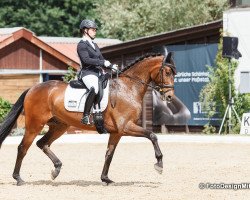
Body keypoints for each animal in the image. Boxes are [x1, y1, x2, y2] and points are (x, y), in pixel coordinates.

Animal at [0, 52, 176, 186]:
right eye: (167, 72)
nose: (169, 97)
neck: (128, 88)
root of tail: (32, 88)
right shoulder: (125, 127)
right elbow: (152, 135)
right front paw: (159, 164)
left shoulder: (117, 132)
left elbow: (109, 154)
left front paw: (105, 179)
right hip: (34, 125)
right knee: (23, 148)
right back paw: (18, 178)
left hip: (59, 126)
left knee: (42, 143)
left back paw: (56, 169)